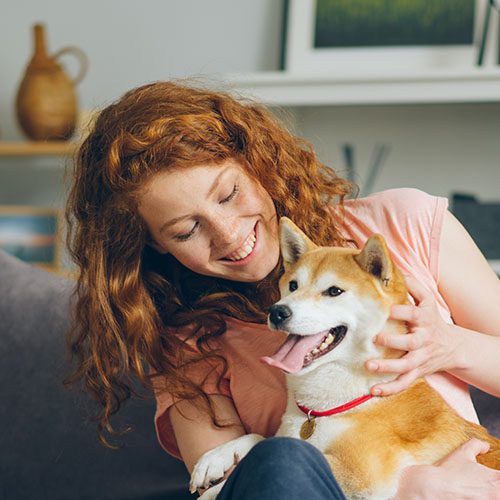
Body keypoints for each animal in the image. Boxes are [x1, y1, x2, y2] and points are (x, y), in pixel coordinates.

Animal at [190, 217, 500, 498]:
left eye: (334, 291)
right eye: (293, 286)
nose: (277, 311)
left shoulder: (361, 475)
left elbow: (286, 449)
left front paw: (216, 488)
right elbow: (263, 438)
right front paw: (216, 459)